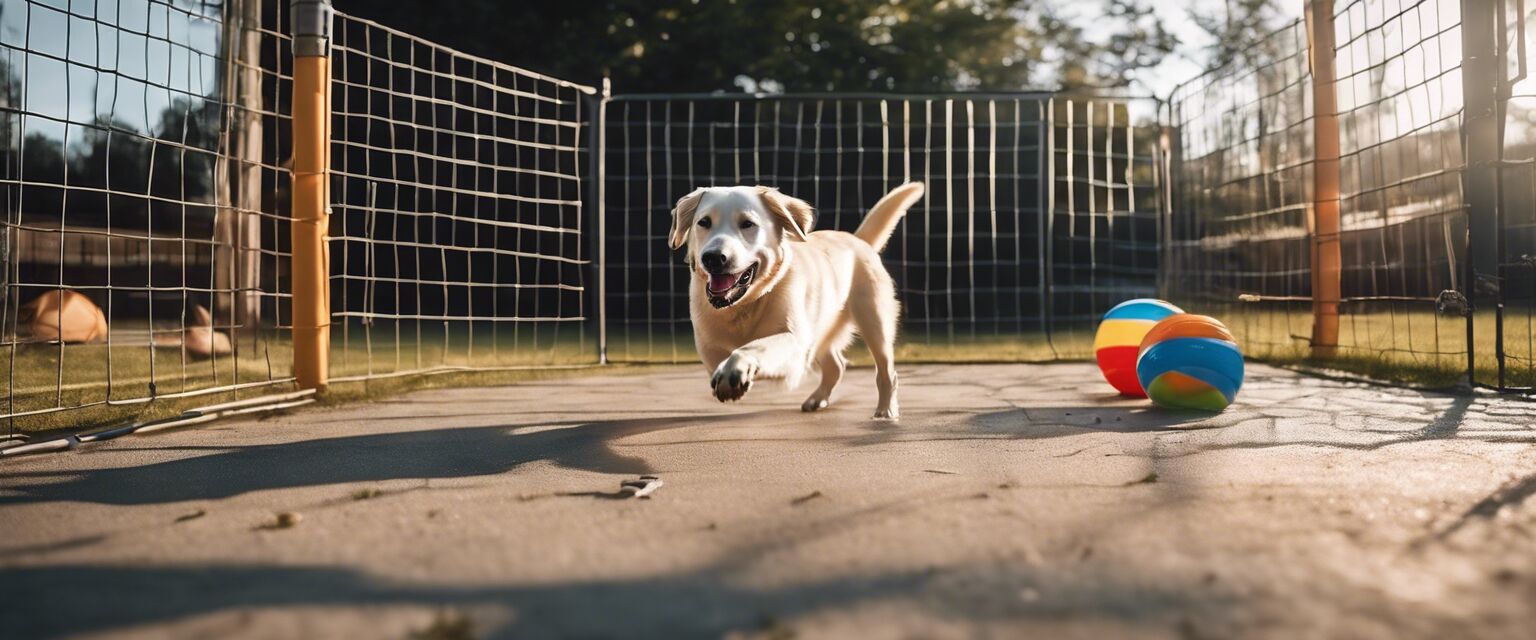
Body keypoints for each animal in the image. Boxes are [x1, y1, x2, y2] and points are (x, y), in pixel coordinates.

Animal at [669, 181, 921, 417]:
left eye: (747, 224)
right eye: (704, 222)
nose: (713, 258)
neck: (745, 305)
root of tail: (857, 240)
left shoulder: (795, 344)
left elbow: (752, 347)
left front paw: (734, 371)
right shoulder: (709, 350)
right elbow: (725, 356)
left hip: (875, 323)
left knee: (886, 372)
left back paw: (886, 410)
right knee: (836, 366)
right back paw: (817, 399)